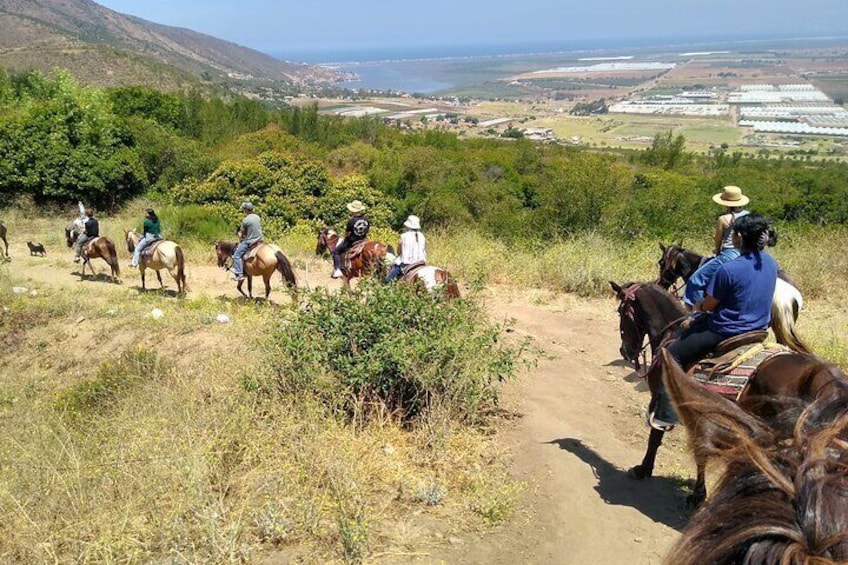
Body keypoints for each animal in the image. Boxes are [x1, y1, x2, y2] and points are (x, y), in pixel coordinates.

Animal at [608, 282, 840, 506]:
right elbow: (701, 451)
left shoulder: (662, 398)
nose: (624, 351)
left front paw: (644, 470)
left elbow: (657, 437)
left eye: (621, 312)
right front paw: (698, 494)